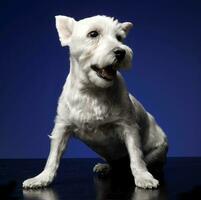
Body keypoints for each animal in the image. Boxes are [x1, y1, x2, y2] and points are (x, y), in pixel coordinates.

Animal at [23, 15, 168, 189]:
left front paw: (143, 176)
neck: (92, 91)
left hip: (159, 149)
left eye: (119, 37)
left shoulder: (128, 127)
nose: (121, 52)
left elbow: (136, 155)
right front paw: (42, 178)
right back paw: (105, 167)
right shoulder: (62, 127)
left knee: (143, 161)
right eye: (93, 34)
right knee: (115, 165)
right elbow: (53, 156)